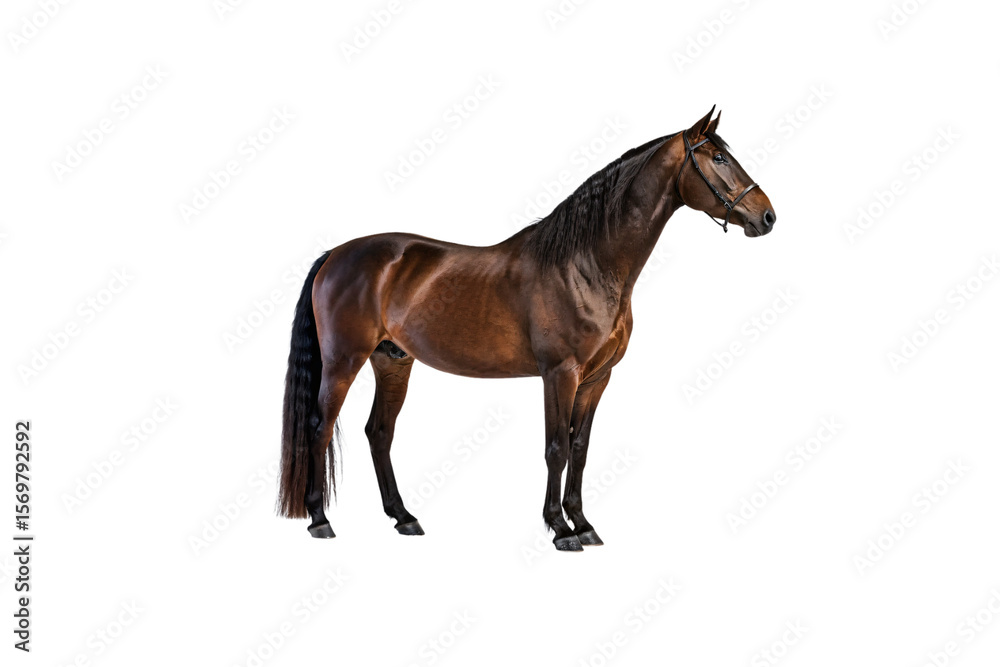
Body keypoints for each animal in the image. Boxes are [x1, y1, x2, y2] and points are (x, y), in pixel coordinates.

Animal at [278, 107, 776, 551]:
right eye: (718, 158)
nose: (767, 216)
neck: (585, 265)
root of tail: (336, 255)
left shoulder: (597, 379)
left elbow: (580, 448)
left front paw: (584, 524)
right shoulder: (560, 373)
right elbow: (556, 447)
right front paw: (559, 529)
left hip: (392, 362)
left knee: (379, 433)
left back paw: (404, 518)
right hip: (344, 361)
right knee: (321, 427)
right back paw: (320, 520)